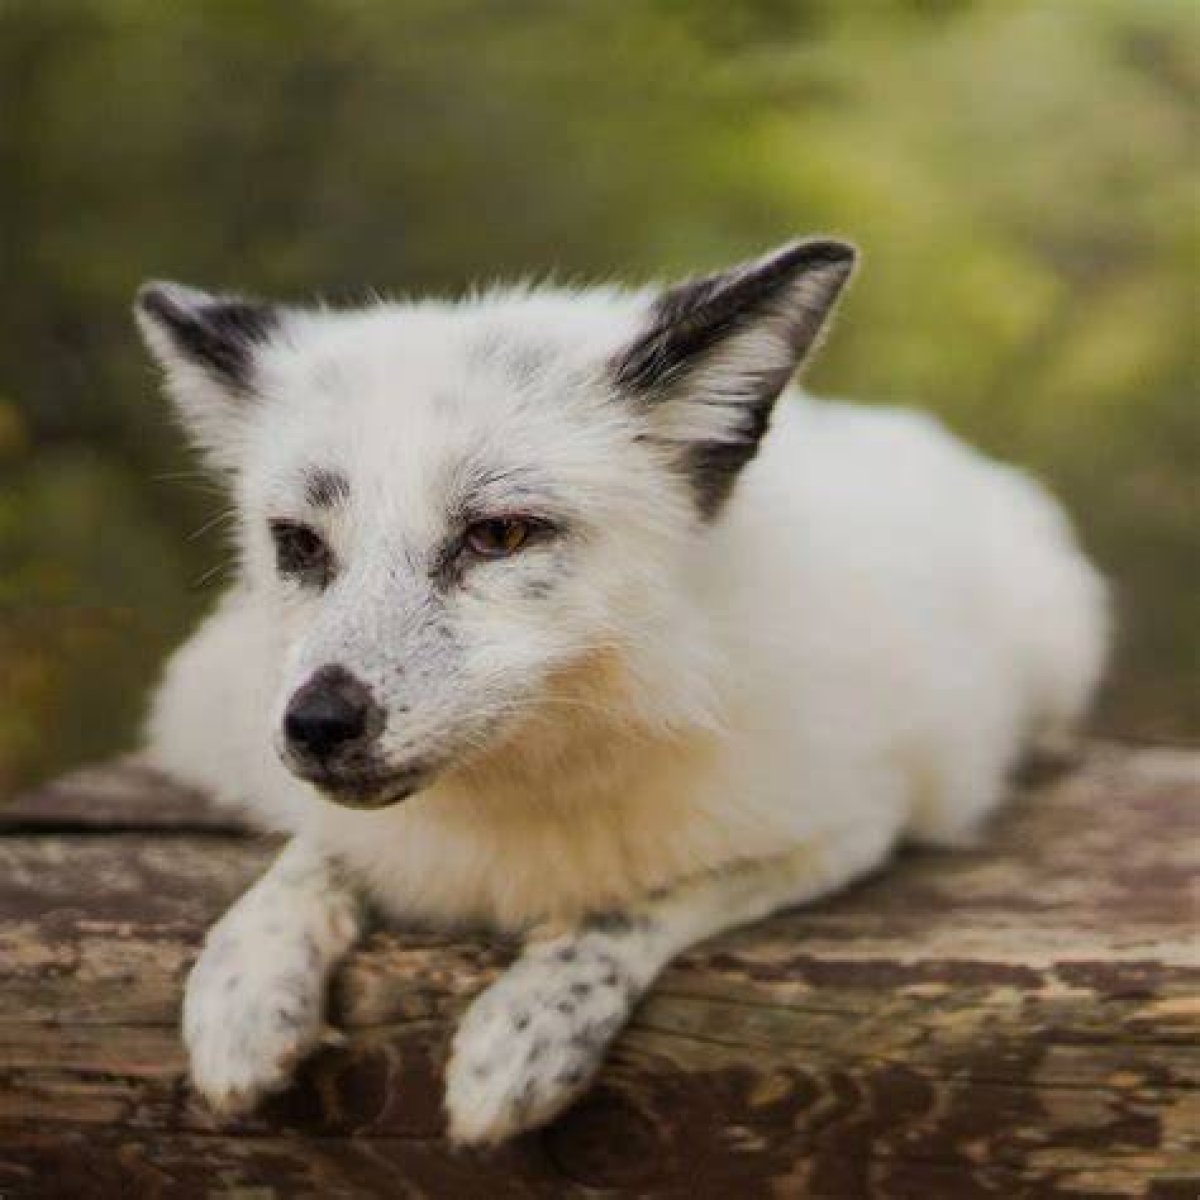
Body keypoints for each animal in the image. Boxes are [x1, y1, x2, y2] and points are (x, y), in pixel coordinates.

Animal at [134, 238, 1108, 1146]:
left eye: (500, 535)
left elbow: (635, 905)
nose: (317, 725)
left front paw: (525, 1033)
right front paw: (242, 990)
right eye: (298, 544)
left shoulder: (848, 825)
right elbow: (309, 858)